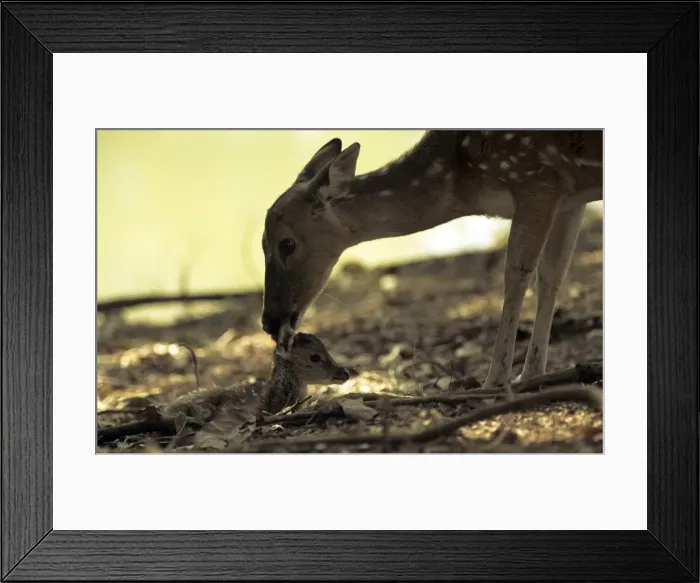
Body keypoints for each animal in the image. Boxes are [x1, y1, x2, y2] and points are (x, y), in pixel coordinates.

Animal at [260, 130, 602, 392]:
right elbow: (552, 275)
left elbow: (516, 274)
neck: (461, 180)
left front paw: (496, 379)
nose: (269, 321)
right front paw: (532, 374)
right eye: (261, 243)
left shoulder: (536, 179)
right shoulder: (570, 197)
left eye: (286, 244)